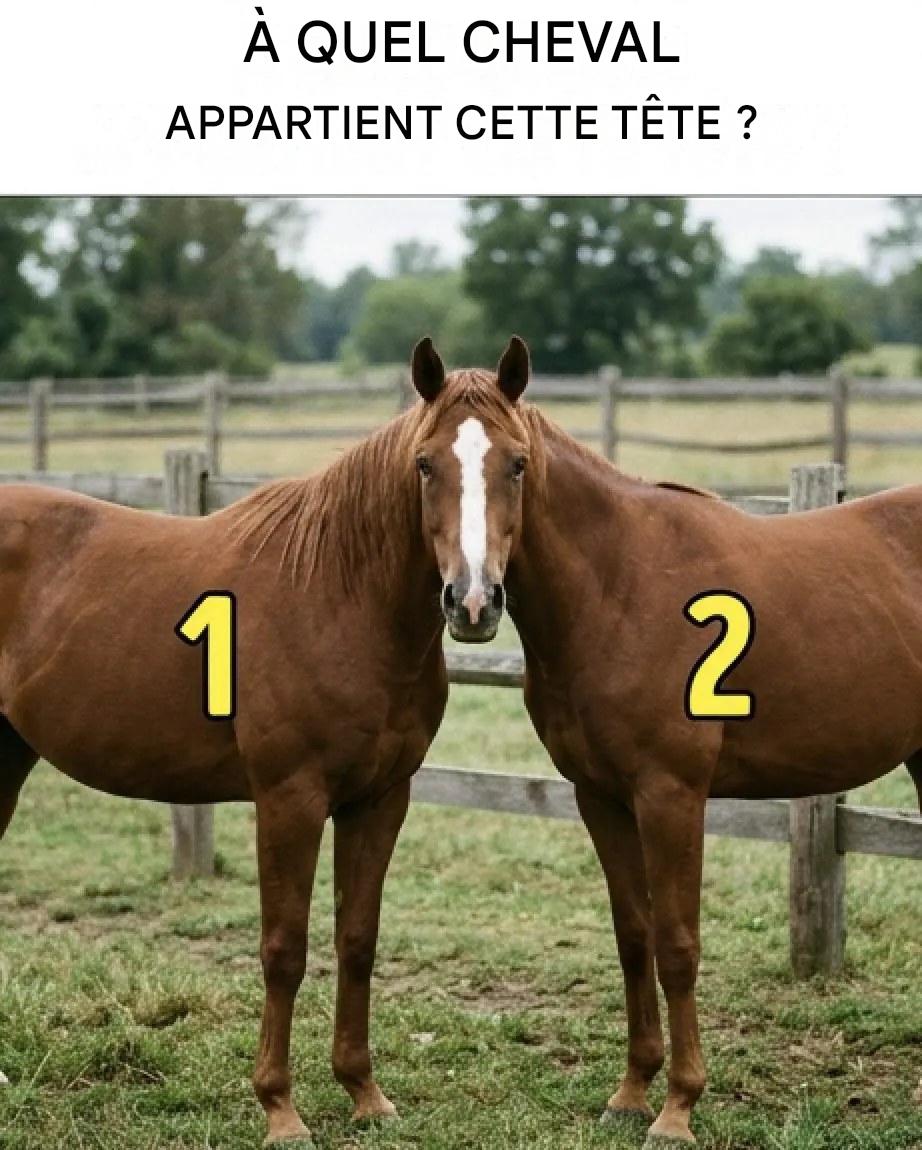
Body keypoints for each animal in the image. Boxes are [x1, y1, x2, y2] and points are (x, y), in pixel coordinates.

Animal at [0, 346, 522, 1145]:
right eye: (425, 464)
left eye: (518, 464)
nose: (471, 602)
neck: (338, 595)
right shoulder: (289, 801)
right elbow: (285, 949)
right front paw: (280, 1107)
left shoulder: (380, 800)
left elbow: (357, 940)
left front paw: (364, 1092)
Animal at [411, 336, 922, 1147]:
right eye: (426, 463)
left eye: (516, 463)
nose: (472, 602)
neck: (619, 587)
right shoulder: (601, 798)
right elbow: (635, 936)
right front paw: (630, 1092)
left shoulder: (671, 797)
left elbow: (678, 945)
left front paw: (679, 1107)